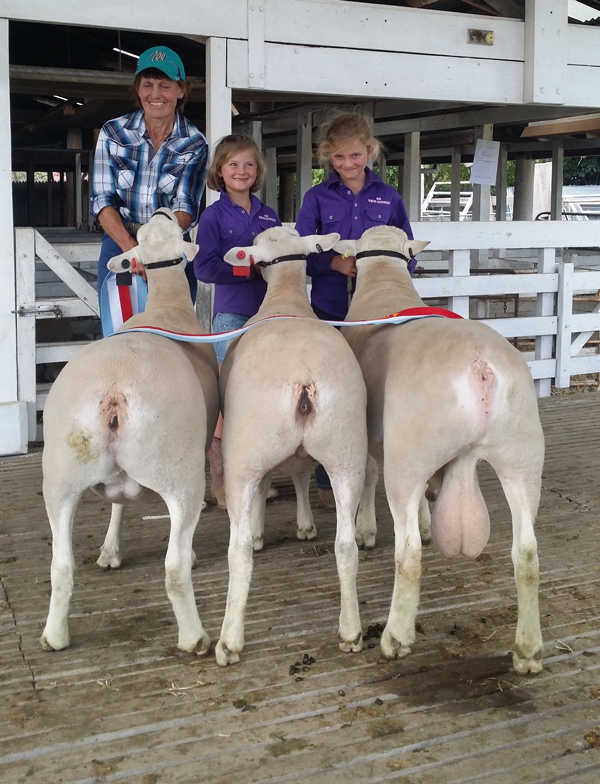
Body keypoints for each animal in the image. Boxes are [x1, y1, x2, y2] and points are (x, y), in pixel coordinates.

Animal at [39, 208, 219, 656]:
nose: (163, 209)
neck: (166, 305)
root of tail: (115, 391)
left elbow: (118, 503)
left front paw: (109, 551)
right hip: (179, 471)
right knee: (174, 566)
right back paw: (194, 637)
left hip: (61, 476)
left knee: (61, 565)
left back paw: (54, 636)